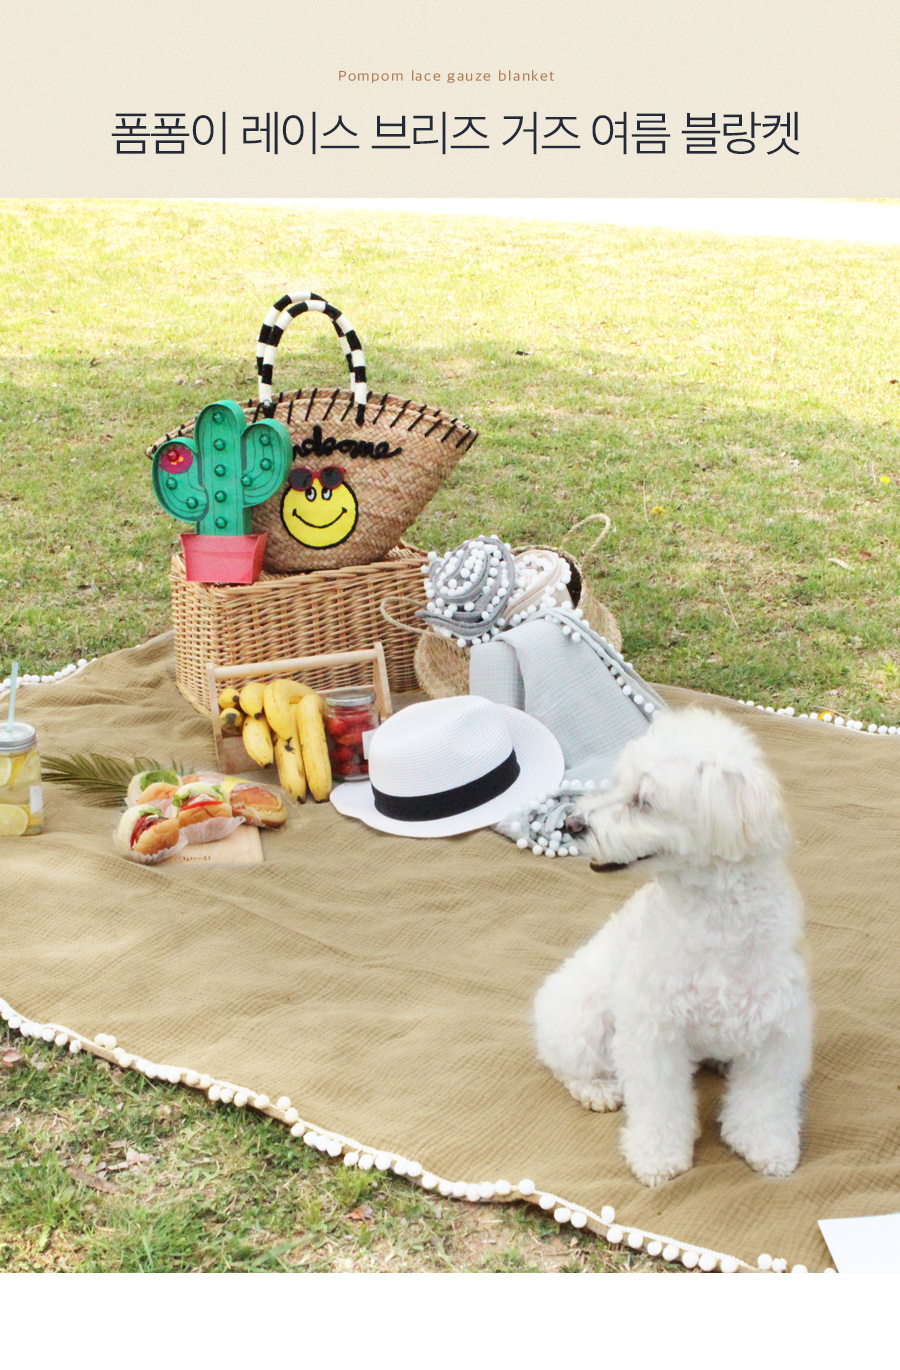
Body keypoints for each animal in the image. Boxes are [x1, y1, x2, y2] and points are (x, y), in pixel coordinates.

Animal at [532, 707, 812, 1188]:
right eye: (616, 783)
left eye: (643, 801)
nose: (572, 824)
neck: (716, 919)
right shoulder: (652, 1031)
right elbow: (659, 1104)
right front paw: (658, 1157)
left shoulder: (778, 1029)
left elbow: (765, 1102)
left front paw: (767, 1149)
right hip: (581, 1014)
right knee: (569, 1066)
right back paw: (598, 1089)